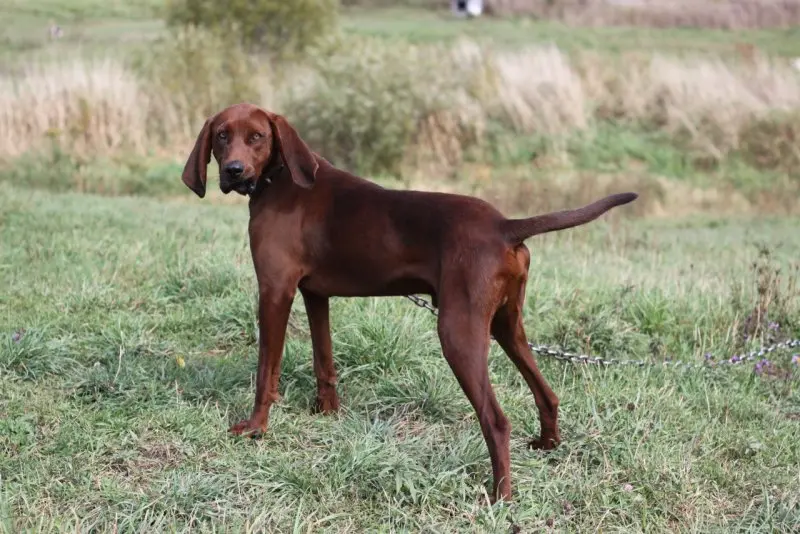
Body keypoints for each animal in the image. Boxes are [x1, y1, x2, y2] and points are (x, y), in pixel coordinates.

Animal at [181, 102, 636, 504]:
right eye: (222, 136)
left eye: (257, 137)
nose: (233, 171)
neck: (279, 179)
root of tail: (505, 226)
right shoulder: (315, 295)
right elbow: (324, 362)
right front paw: (327, 414)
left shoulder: (275, 290)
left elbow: (266, 372)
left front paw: (256, 428)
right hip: (506, 325)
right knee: (547, 393)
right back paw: (547, 445)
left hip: (458, 332)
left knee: (496, 420)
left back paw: (501, 497)